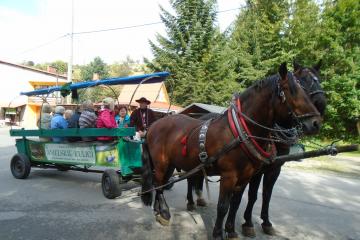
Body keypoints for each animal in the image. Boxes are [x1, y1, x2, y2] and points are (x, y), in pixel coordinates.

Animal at [141, 62, 320, 239]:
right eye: (291, 90)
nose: (316, 122)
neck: (239, 132)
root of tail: (153, 126)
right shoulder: (229, 176)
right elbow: (223, 206)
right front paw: (218, 233)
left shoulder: (246, 177)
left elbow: (235, 203)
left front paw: (231, 230)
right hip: (162, 163)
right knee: (159, 184)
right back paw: (165, 213)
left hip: (172, 164)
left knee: (161, 183)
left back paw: (159, 209)